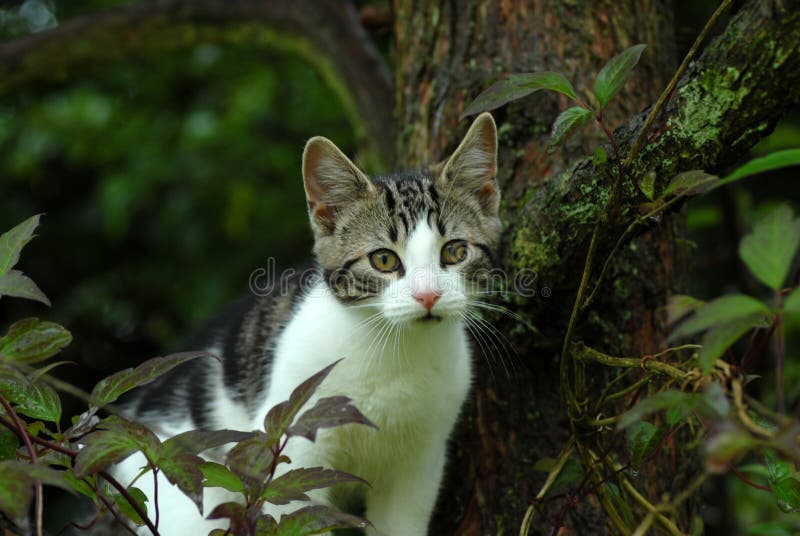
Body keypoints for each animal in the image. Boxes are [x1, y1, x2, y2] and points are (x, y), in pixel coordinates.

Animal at [112, 111, 500, 532]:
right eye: (383, 259)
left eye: (455, 252)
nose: (428, 295)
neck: (396, 351)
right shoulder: (291, 446)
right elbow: (296, 512)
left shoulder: (420, 463)